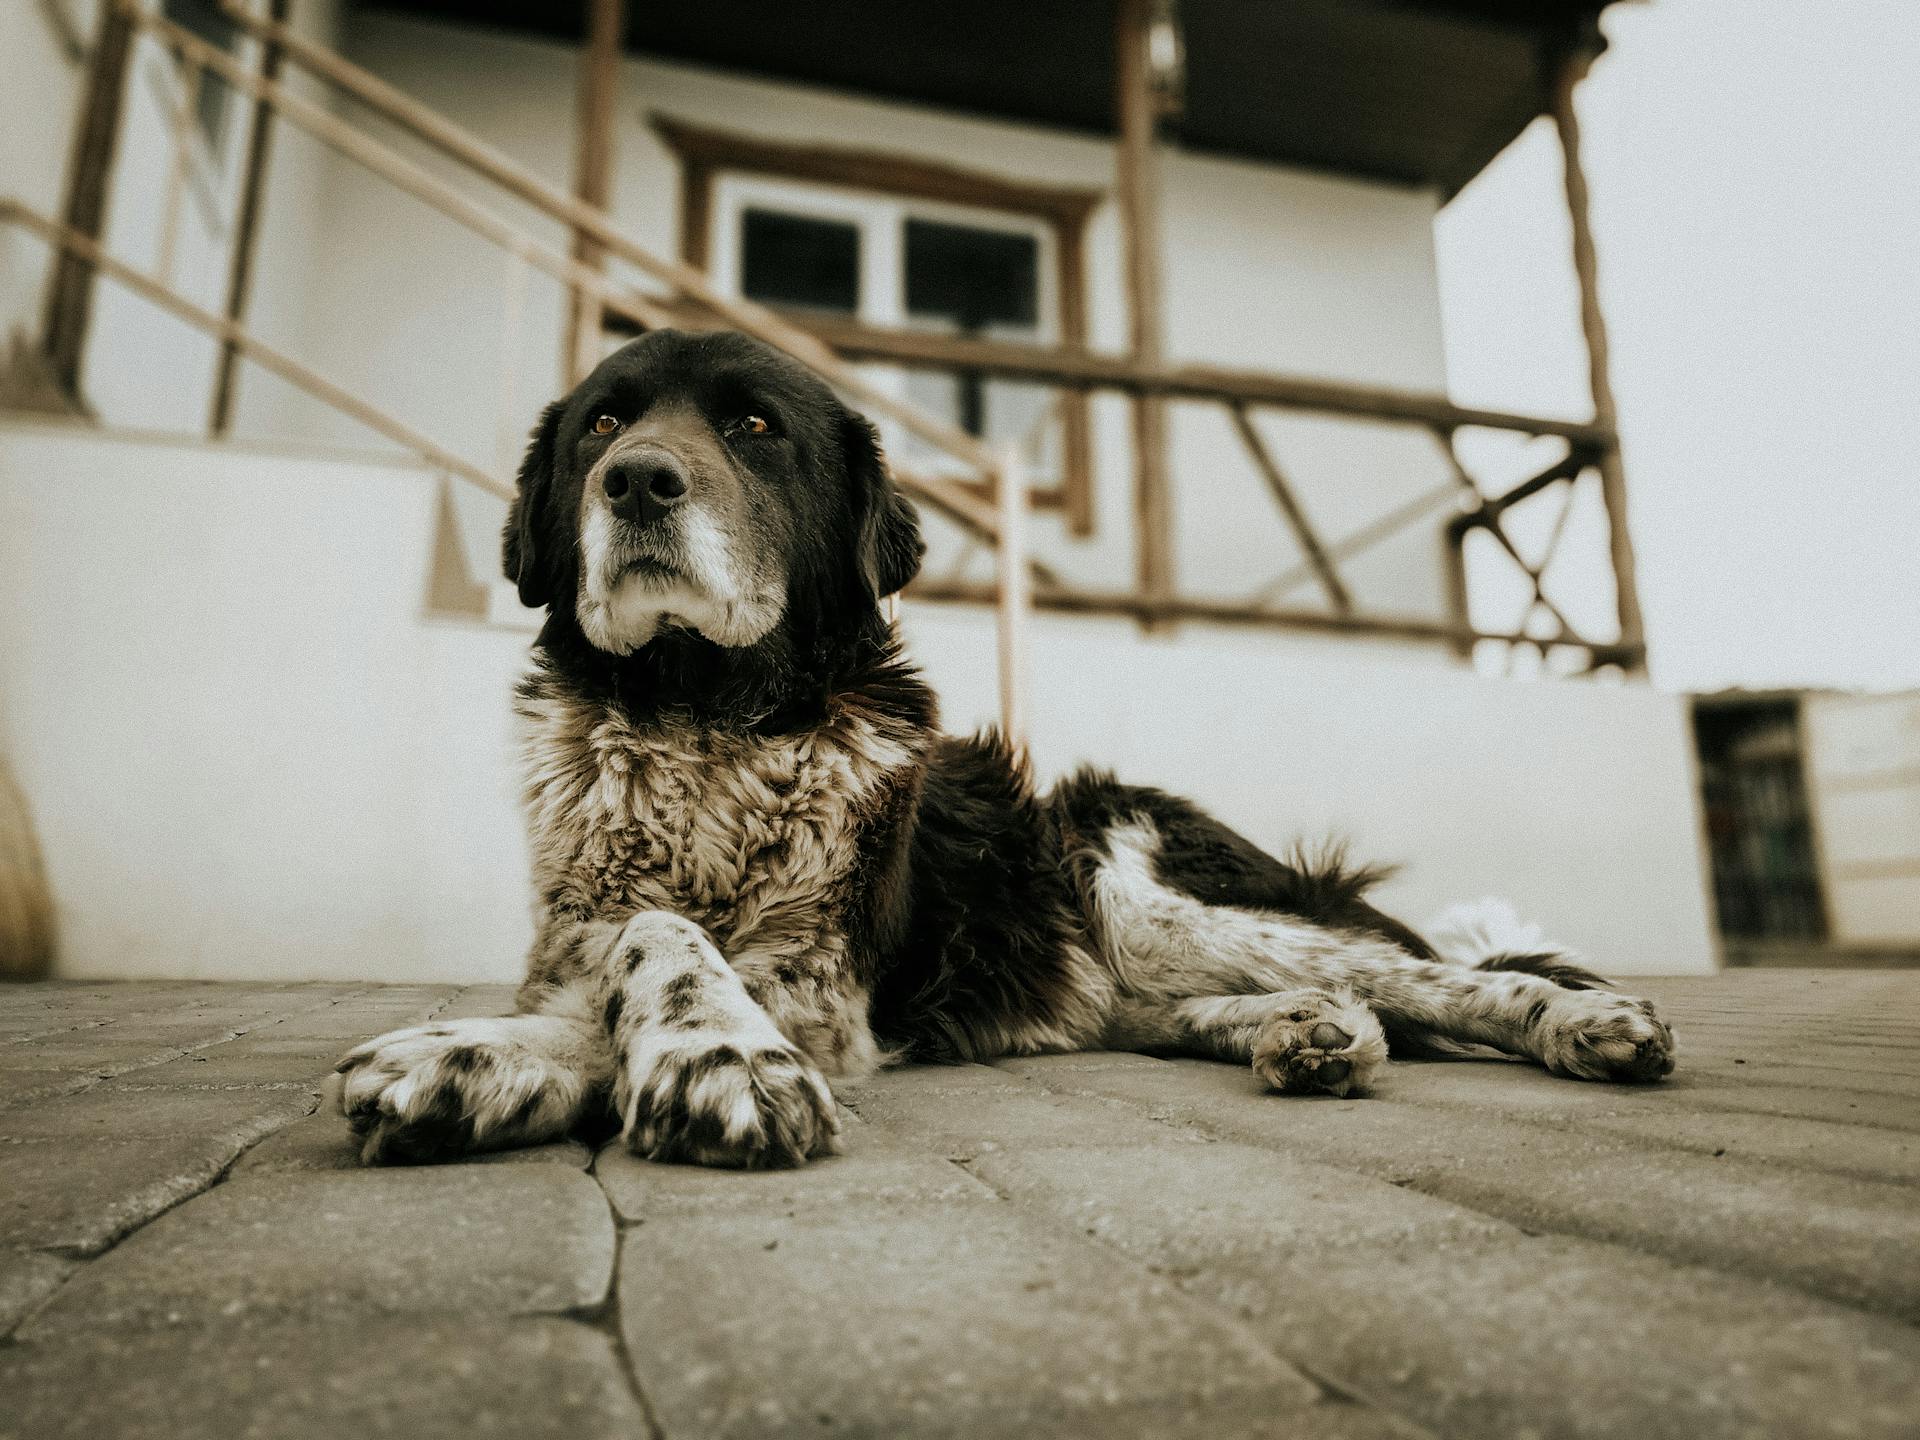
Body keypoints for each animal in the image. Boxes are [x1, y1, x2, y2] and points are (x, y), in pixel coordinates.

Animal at [337, 330, 1674, 1175]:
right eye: (604, 421)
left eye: (754, 427)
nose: (638, 479)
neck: (700, 713)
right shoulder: (575, 939)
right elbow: (617, 956)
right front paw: (478, 1060)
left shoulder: (824, 987)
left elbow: (662, 948)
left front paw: (708, 1059)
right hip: (1124, 959)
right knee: (1286, 1004)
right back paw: (1310, 1034)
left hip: (1142, 885)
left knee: (1439, 979)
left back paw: (1580, 1023)